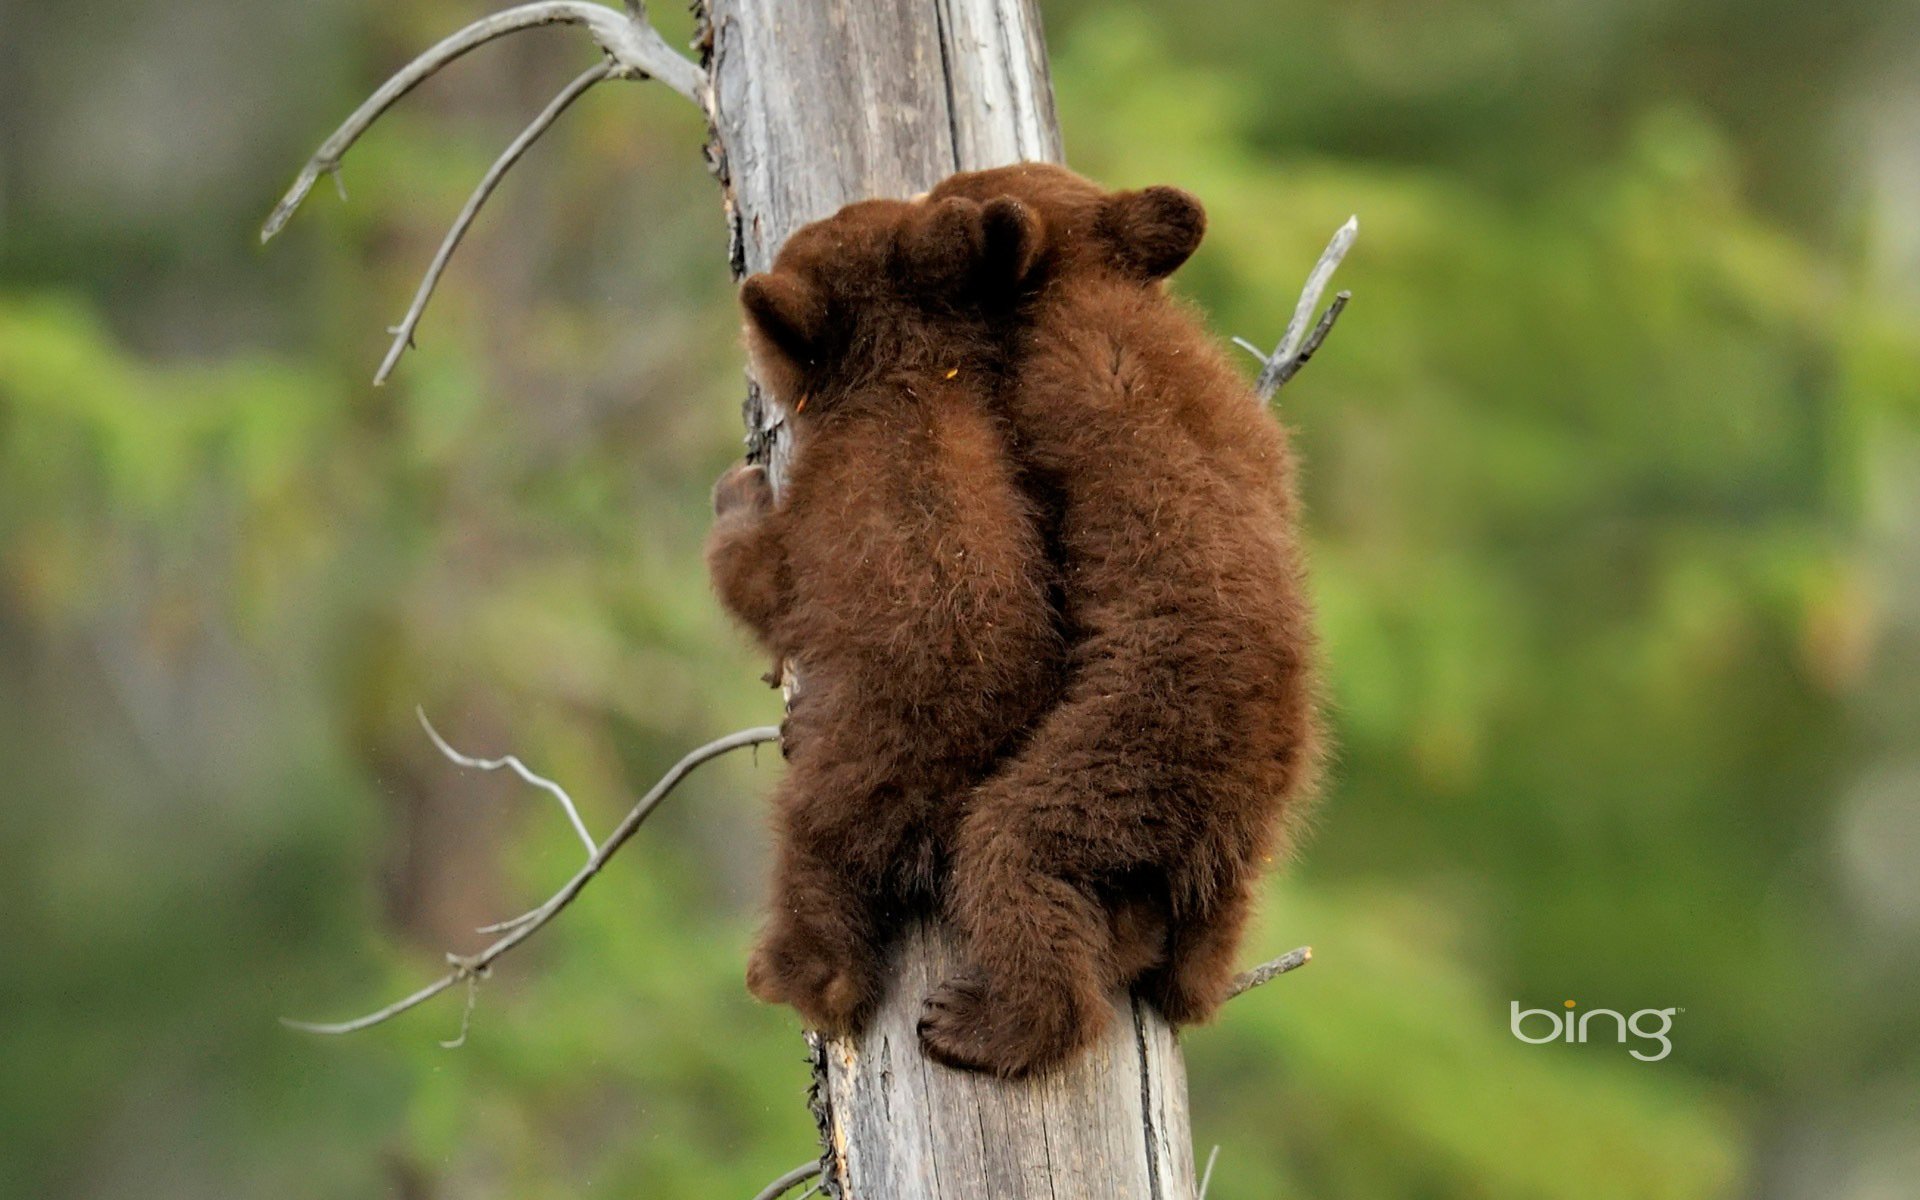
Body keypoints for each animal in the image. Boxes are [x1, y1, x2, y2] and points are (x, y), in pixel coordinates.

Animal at [704, 192, 1066, 1035]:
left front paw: (736, 490)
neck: (908, 377)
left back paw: (794, 974)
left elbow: (762, 579)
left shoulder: (820, 512)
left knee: (816, 864)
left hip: (852, 777)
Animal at [907, 163, 1324, 1077]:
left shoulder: (1065, 384)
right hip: (1244, 846)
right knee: (1198, 939)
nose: (915, 199)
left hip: (1122, 756)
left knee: (1012, 853)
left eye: (949, 194)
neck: (1090, 280)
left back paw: (984, 1021)